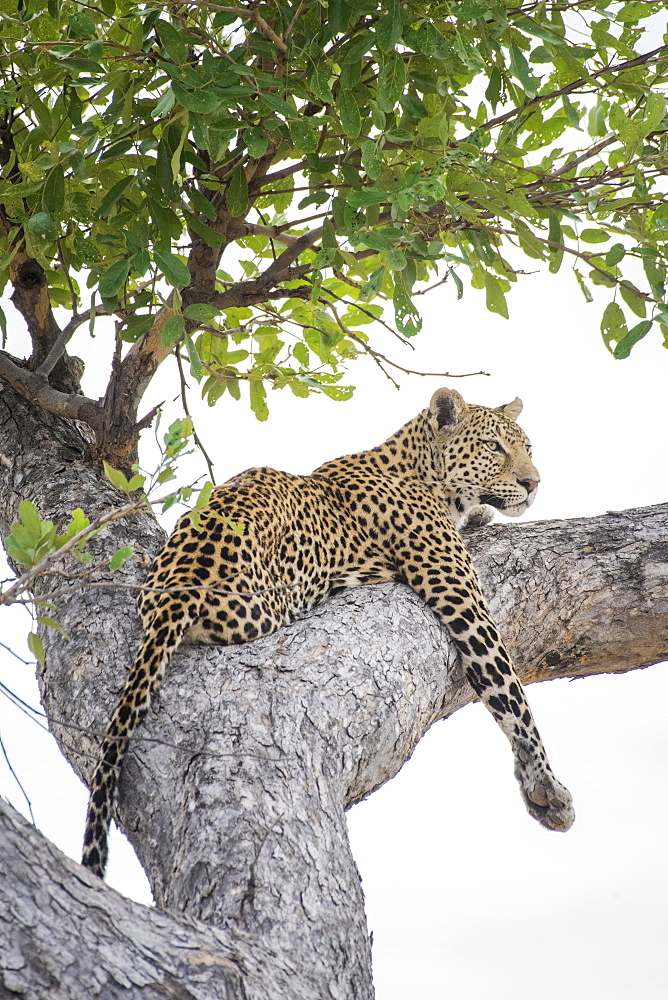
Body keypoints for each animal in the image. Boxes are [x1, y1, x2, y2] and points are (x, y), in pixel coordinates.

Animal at [82, 386, 576, 880]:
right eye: (494, 447)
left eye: (528, 448)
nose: (534, 483)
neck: (423, 470)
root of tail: (176, 592)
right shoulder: (461, 598)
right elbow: (509, 694)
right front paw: (546, 787)